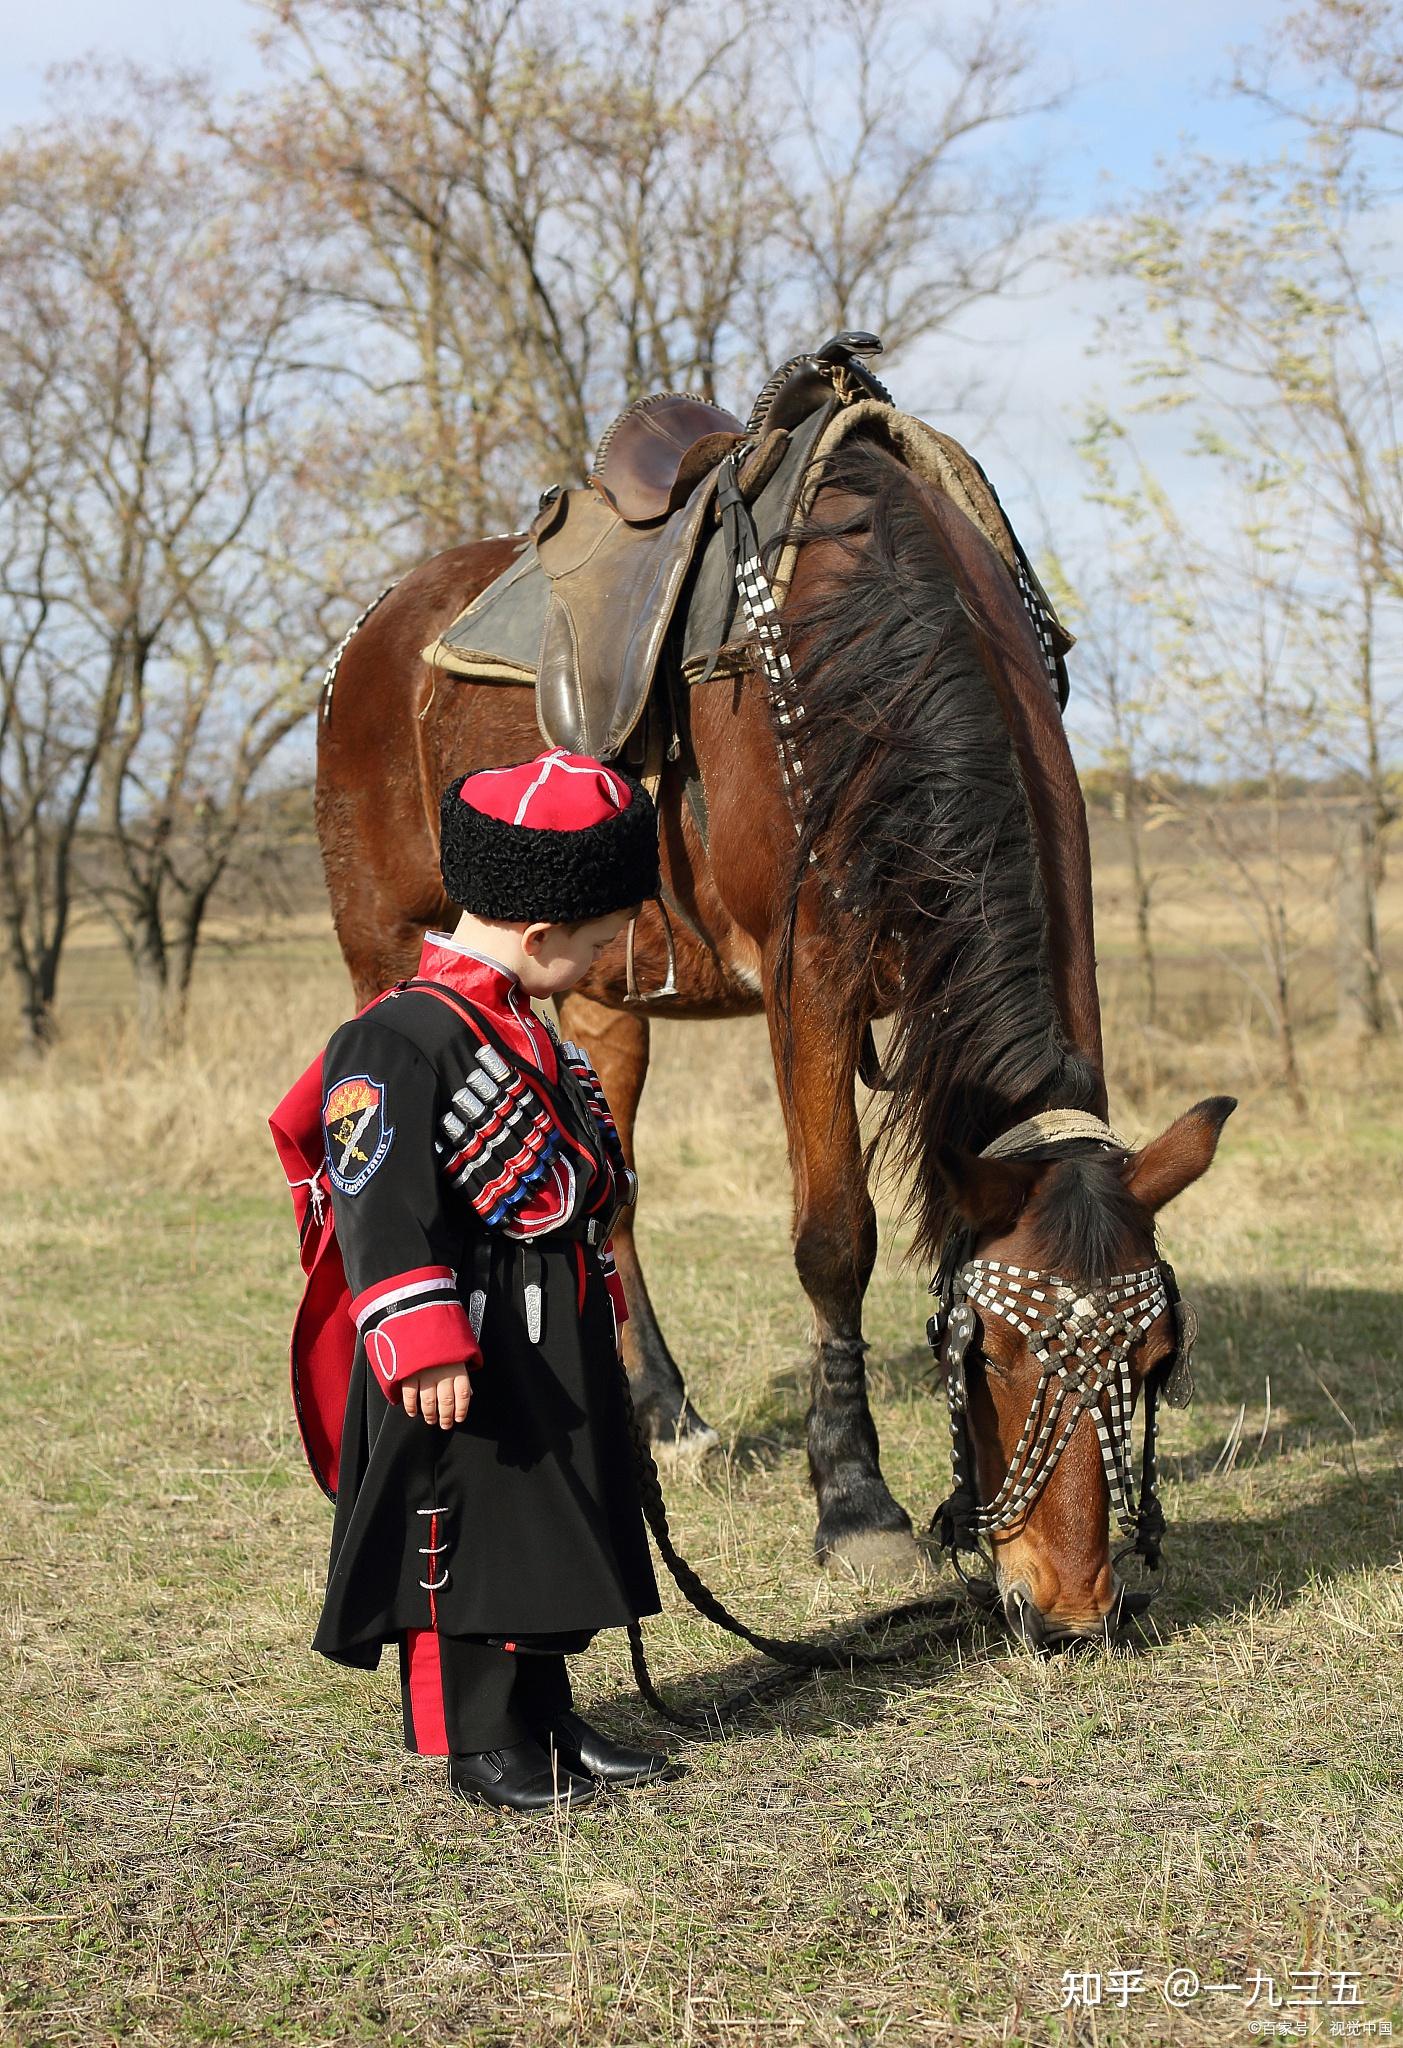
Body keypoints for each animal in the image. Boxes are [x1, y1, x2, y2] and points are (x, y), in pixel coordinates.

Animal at [315, 440, 1228, 1638]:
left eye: (1153, 1360)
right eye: (988, 1353)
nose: (1070, 1609)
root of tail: (372, 631)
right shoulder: (811, 983)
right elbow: (834, 1235)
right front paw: (855, 1501)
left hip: (605, 999)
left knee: (612, 1198)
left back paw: (664, 1414)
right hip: (387, 945)